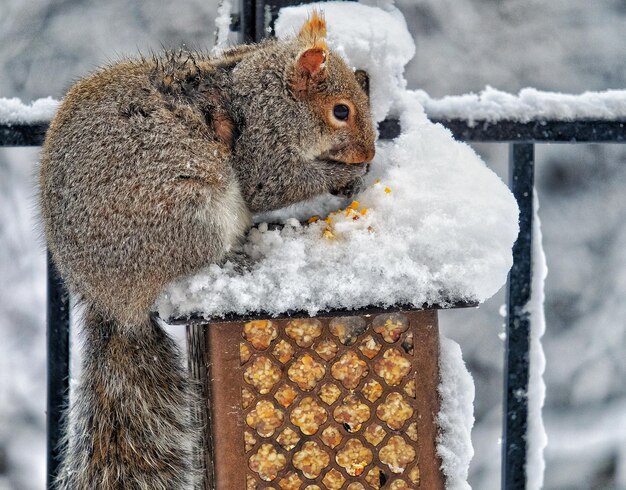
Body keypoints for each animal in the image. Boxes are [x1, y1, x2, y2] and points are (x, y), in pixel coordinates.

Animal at [40, 12, 376, 490]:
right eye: (341, 111)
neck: (263, 91)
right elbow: (270, 185)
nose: (369, 150)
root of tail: (115, 304)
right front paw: (345, 174)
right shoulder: (260, 148)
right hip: (194, 217)